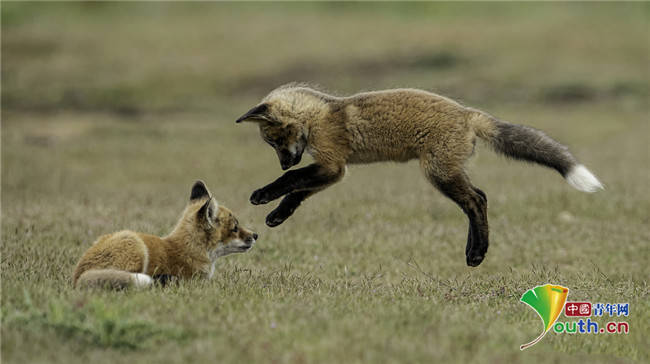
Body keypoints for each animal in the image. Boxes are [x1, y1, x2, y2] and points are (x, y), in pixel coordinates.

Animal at [235, 84, 600, 266]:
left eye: (275, 141)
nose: (283, 163)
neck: (320, 117)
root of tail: (467, 112)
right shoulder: (331, 171)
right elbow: (296, 194)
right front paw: (278, 215)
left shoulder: (331, 165)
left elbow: (291, 184)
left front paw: (262, 195)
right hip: (446, 171)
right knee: (479, 198)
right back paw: (473, 251)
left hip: (438, 173)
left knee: (476, 201)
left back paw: (477, 253)